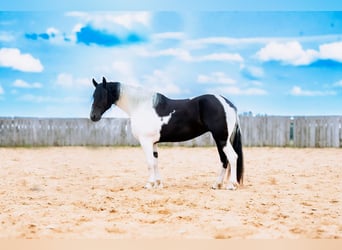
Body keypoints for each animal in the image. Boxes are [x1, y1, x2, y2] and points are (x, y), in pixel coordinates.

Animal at [89, 77, 242, 190]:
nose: (93, 116)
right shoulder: (153, 143)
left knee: (232, 157)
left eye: (103, 95)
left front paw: (149, 184)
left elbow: (150, 162)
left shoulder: (145, 141)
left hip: (221, 139)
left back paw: (231, 185)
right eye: (93, 95)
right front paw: (158, 184)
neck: (141, 106)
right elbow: (155, 162)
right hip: (220, 139)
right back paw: (217, 184)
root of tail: (227, 103)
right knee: (224, 160)